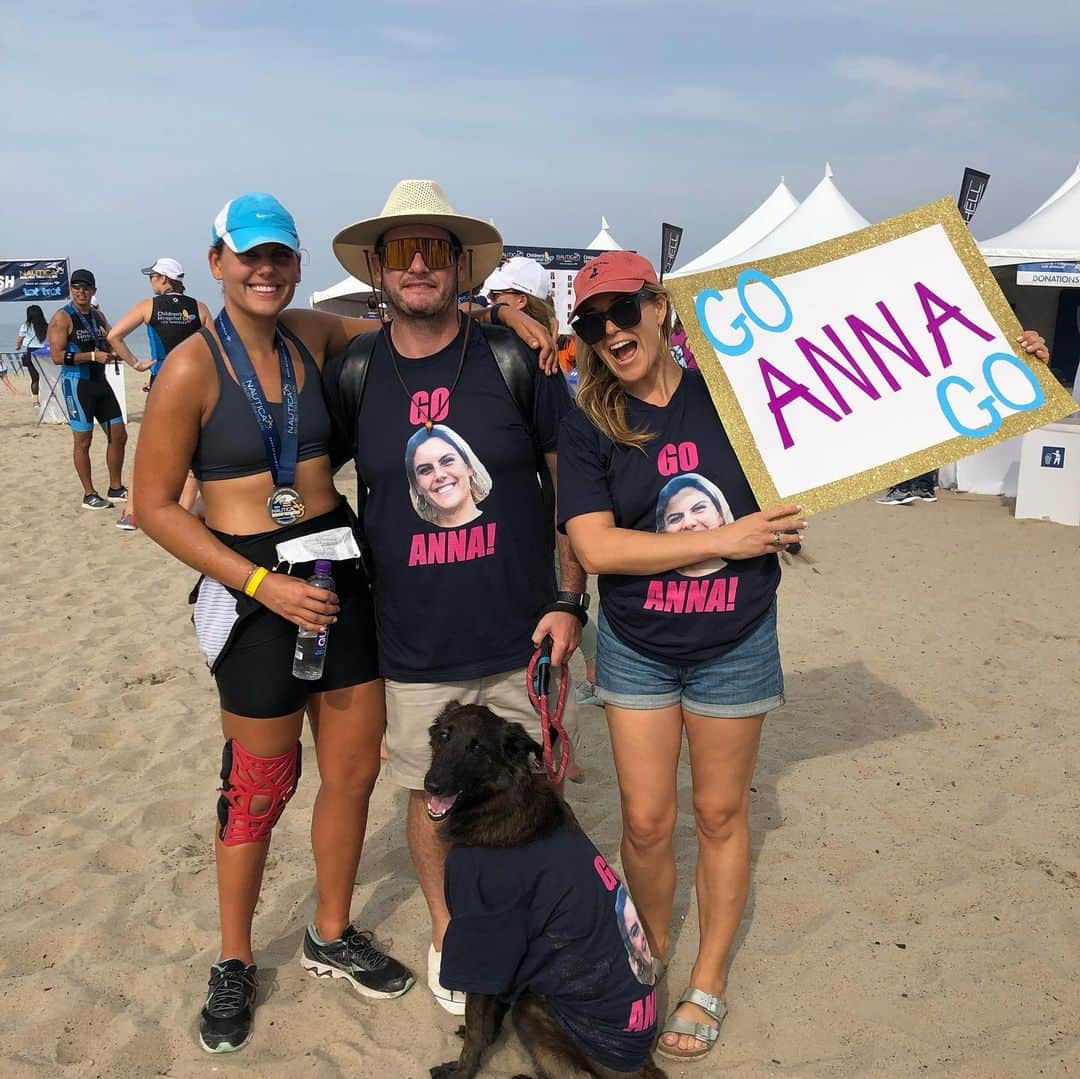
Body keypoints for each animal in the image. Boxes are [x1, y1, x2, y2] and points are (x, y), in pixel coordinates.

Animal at [423, 699, 660, 1079]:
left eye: (477, 748)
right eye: (445, 735)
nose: (433, 785)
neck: (500, 803)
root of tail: (643, 1068)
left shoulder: (486, 934)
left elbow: (476, 1025)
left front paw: (462, 1070)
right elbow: (488, 1013)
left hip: (532, 1005)